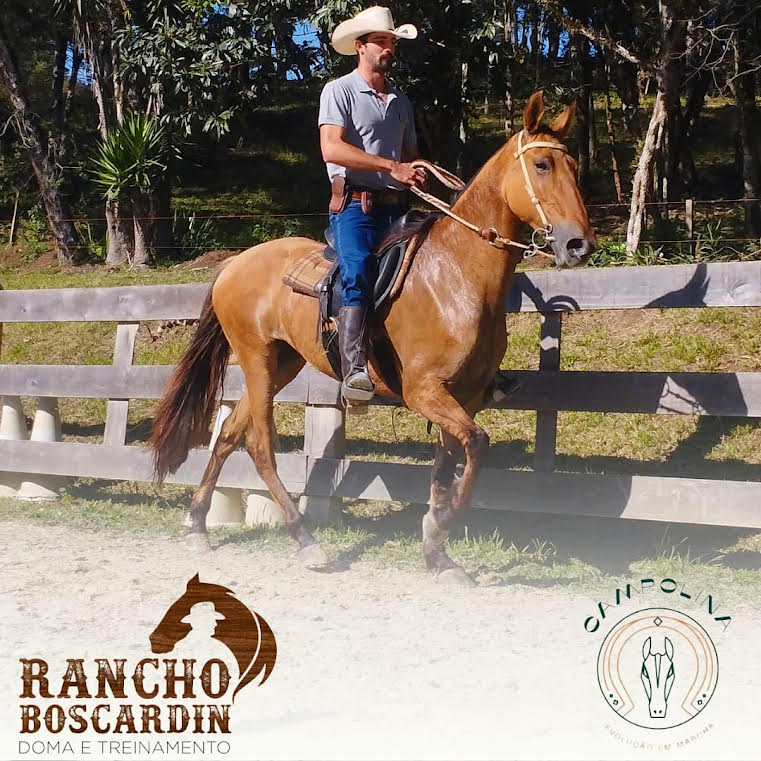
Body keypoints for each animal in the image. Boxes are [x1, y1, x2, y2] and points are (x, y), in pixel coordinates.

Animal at [149, 91, 596, 586]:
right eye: (541, 164)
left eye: (573, 165)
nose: (579, 244)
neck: (457, 275)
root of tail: (235, 263)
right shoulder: (424, 392)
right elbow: (477, 445)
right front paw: (444, 520)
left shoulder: (464, 397)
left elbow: (448, 463)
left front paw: (437, 552)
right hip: (257, 358)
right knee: (259, 445)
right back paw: (305, 540)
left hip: (282, 363)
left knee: (228, 435)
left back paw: (197, 524)